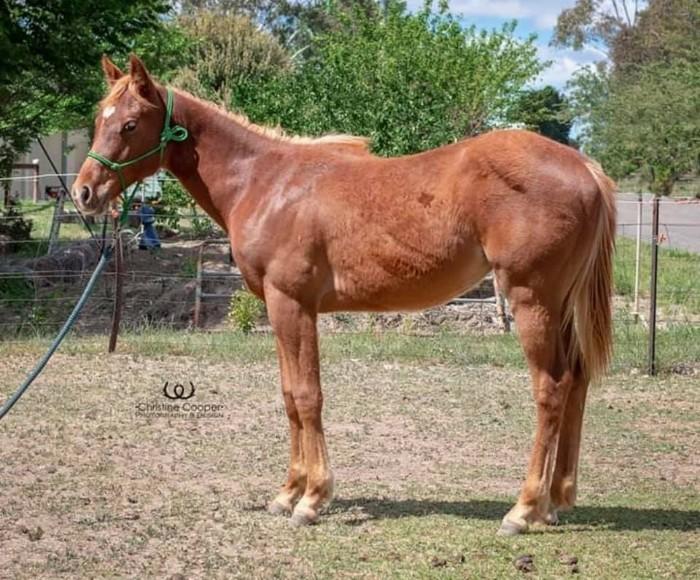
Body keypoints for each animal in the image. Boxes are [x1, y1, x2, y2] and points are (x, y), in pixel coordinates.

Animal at [73, 55, 616, 535]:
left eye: (130, 124)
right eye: (99, 119)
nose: (84, 193)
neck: (265, 182)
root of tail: (584, 166)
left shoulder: (293, 304)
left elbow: (308, 396)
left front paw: (312, 500)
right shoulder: (278, 309)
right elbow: (289, 395)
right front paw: (287, 492)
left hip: (532, 300)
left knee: (551, 389)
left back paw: (523, 510)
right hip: (558, 306)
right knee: (577, 379)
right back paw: (555, 501)